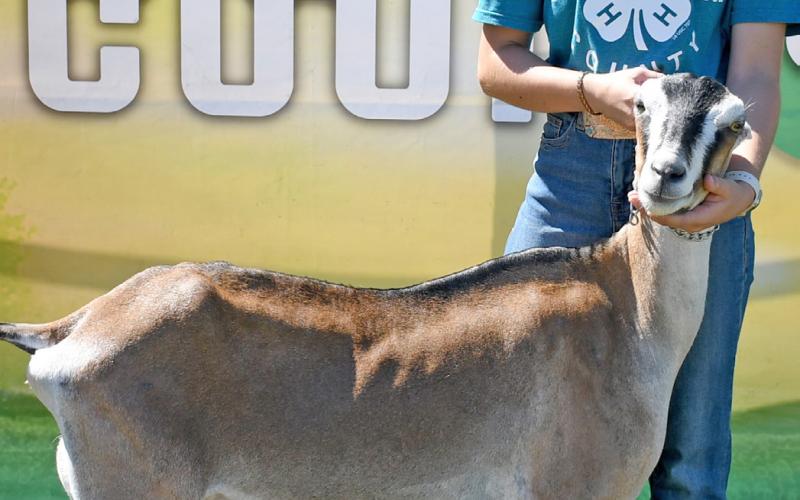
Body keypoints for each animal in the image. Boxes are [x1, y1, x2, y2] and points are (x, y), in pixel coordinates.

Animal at [0, 74, 751, 499]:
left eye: (734, 120)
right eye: (641, 102)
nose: (665, 176)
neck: (626, 305)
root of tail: (73, 329)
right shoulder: (572, 485)